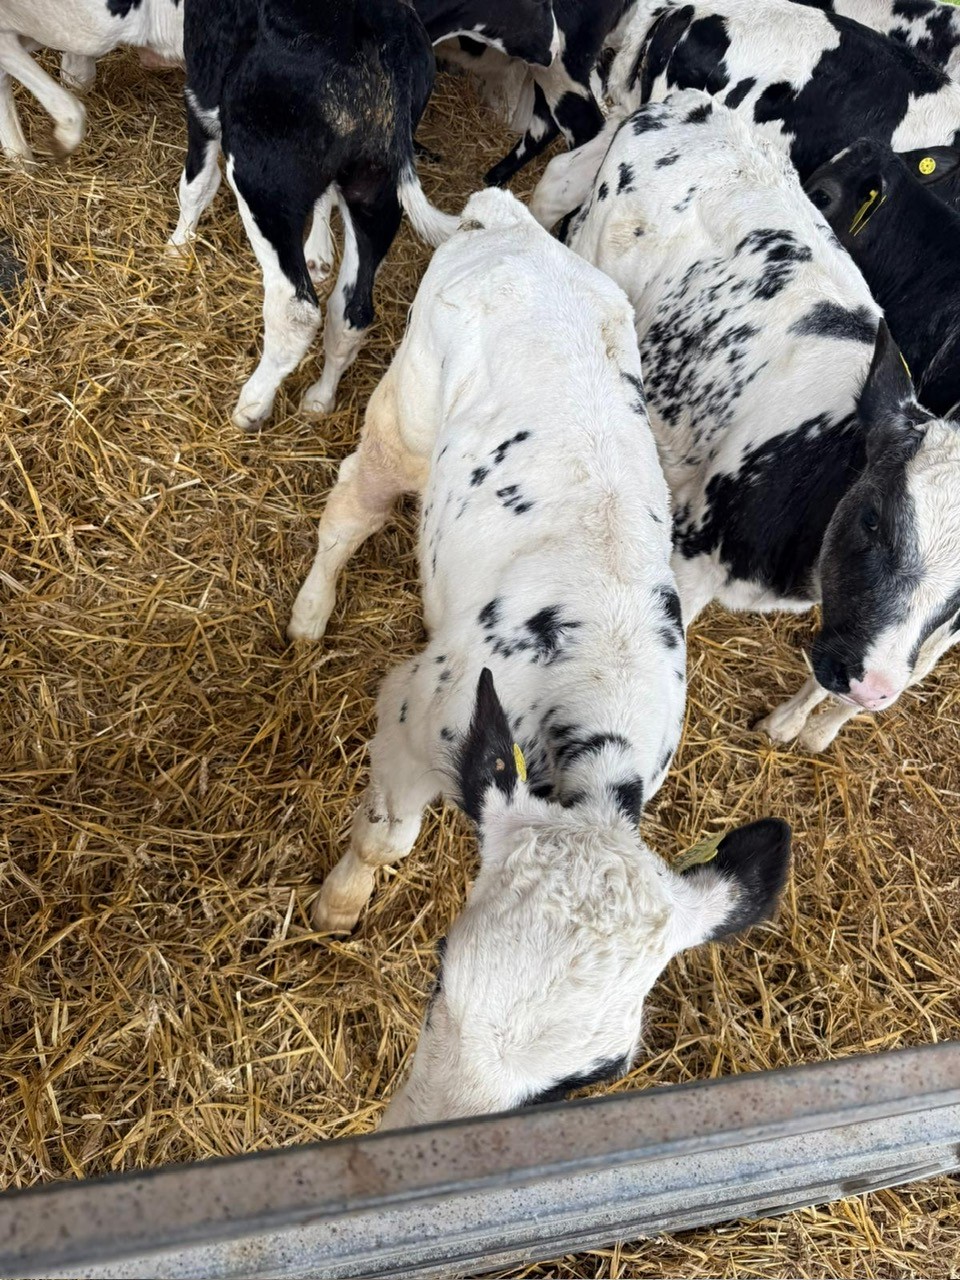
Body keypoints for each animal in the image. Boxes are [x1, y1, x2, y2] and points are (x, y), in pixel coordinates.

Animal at [167, 0, 461, 432]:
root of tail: (379, 24)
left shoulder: (201, 90)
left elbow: (197, 182)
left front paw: (177, 244)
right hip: (374, 187)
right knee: (352, 310)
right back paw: (320, 398)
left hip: (263, 178)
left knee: (297, 308)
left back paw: (252, 406)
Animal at [286, 187, 792, 1126]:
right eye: (440, 977)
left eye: (589, 1078)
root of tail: (514, 225)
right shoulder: (408, 714)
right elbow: (386, 841)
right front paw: (339, 903)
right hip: (404, 419)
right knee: (351, 500)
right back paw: (311, 607)